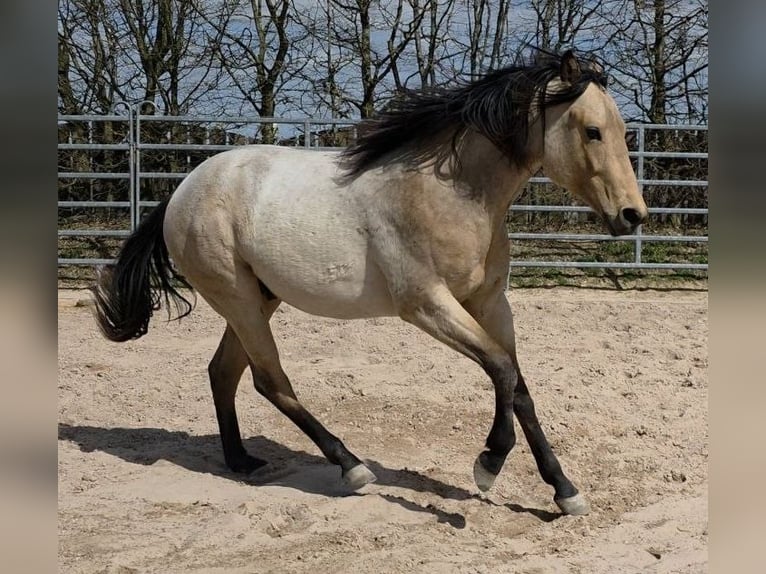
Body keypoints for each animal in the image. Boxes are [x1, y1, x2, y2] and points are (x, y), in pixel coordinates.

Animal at [92, 50, 647, 516]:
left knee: (223, 372)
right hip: (238, 298)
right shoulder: (427, 304)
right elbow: (501, 370)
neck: (452, 192)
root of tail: (181, 192)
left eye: (622, 131)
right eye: (593, 131)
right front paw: (487, 466)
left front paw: (565, 492)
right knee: (270, 380)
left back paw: (243, 462)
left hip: (257, 299)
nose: (633, 215)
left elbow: (518, 385)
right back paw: (351, 466)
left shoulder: (489, 303)